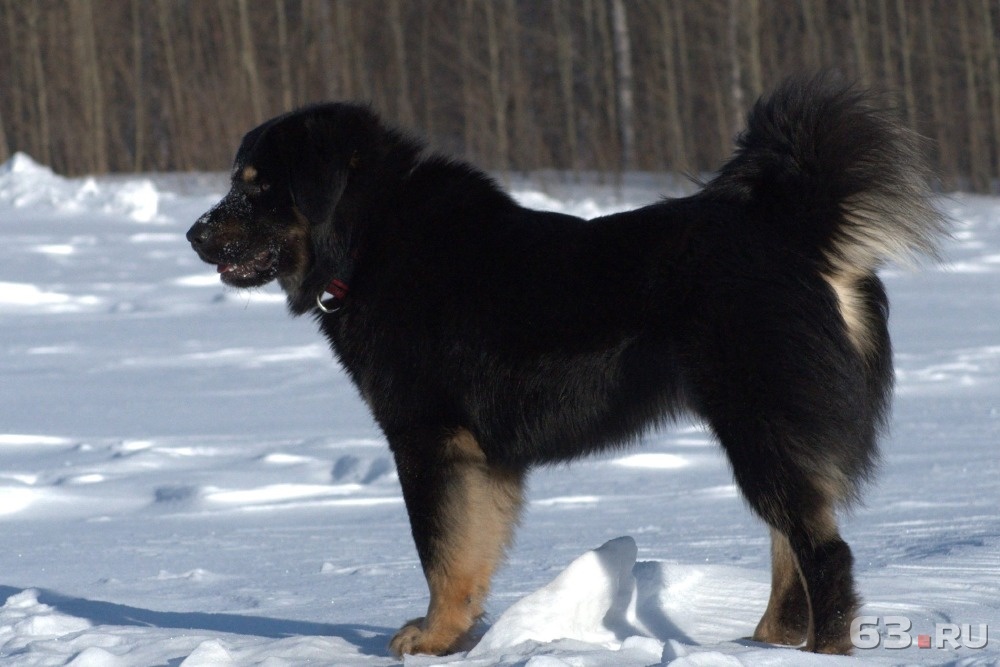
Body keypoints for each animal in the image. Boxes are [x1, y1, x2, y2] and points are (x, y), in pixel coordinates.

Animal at [188, 75, 944, 656]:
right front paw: (457, 637)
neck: (373, 239)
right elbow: (469, 557)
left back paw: (822, 652)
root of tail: (800, 230)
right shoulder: (482, 459)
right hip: (768, 436)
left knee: (824, 552)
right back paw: (767, 641)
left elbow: (440, 552)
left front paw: (430, 639)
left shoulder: (429, 441)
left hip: (760, 425)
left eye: (257, 188)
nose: (195, 233)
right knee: (793, 542)